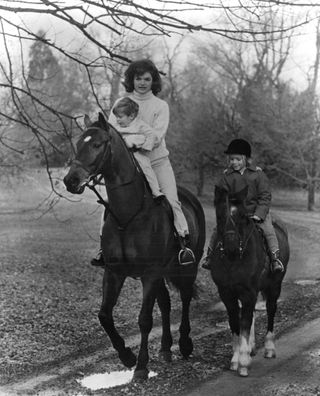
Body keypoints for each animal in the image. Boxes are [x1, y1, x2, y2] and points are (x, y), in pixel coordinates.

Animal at [63, 113, 206, 378]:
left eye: (97, 144)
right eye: (78, 143)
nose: (71, 180)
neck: (128, 215)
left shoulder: (150, 273)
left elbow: (144, 319)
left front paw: (140, 366)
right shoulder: (114, 272)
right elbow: (104, 315)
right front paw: (126, 356)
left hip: (186, 268)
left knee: (185, 298)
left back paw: (184, 344)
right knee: (166, 304)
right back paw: (166, 349)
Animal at [210, 186, 290, 378]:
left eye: (241, 216)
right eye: (220, 215)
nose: (231, 246)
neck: (233, 260)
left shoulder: (248, 292)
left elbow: (245, 323)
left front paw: (244, 362)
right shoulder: (227, 293)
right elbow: (235, 323)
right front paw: (235, 358)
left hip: (274, 286)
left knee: (270, 310)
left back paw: (269, 348)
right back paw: (252, 347)